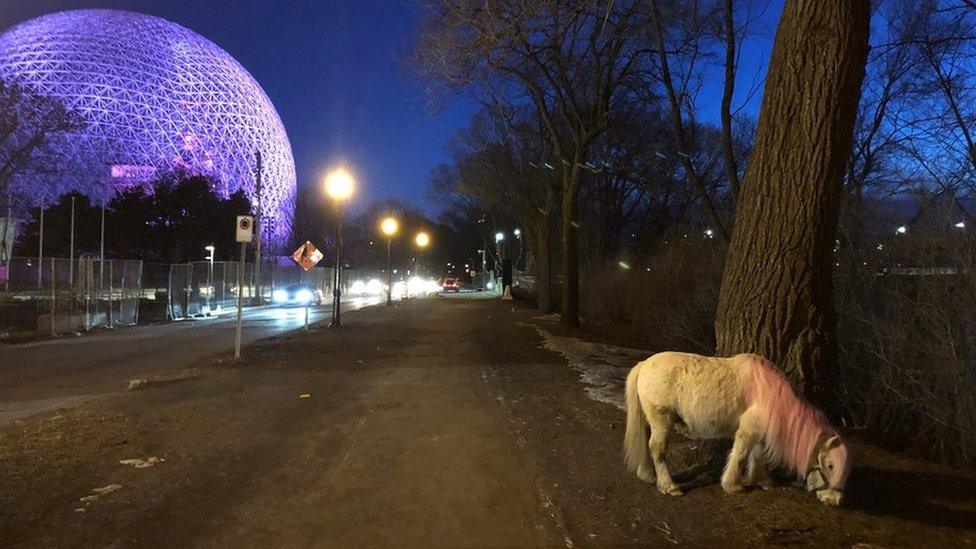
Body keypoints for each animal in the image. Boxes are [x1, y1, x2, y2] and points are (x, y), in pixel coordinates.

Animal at [628, 352, 852, 506]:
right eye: (830, 465)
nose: (835, 500)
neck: (772, 397)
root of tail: (644, 365)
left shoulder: (760, 435)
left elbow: (758, 457)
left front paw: (760, 480)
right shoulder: (748, 432)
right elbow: (740, 456)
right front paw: (733, 485)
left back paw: (647, 474)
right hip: (662, 418)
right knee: (657, 448)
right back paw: (669, 486)